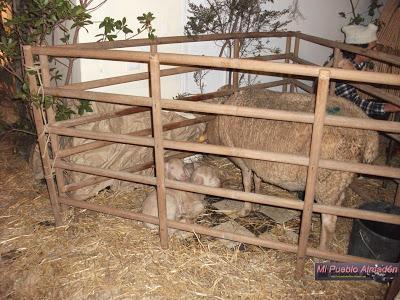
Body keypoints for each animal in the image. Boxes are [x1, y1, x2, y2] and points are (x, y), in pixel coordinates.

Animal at [206, 88, 378, 251]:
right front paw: (258, 202)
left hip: (327, 183)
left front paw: (246, 209)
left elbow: (247, 185)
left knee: (329, 220)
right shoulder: (258, 161)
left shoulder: (243, 161)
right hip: (339, 180)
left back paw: (321, 251)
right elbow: (257, 180)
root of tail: (369, 136)